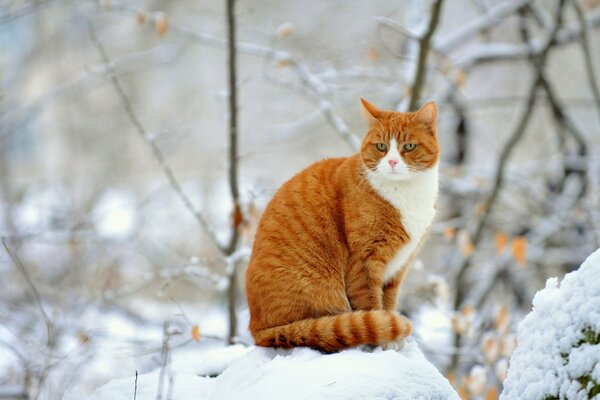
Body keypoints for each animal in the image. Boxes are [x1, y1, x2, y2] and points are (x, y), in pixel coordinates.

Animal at [245, 98, 440, 352]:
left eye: (408, 147)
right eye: (381, 147)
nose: (392, 161)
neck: (406, 194)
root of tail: (256, 329)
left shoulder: (398, 268)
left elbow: (388, 303)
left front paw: (394, 339)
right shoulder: (365, 261)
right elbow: (371, 305)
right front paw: (384, 340)